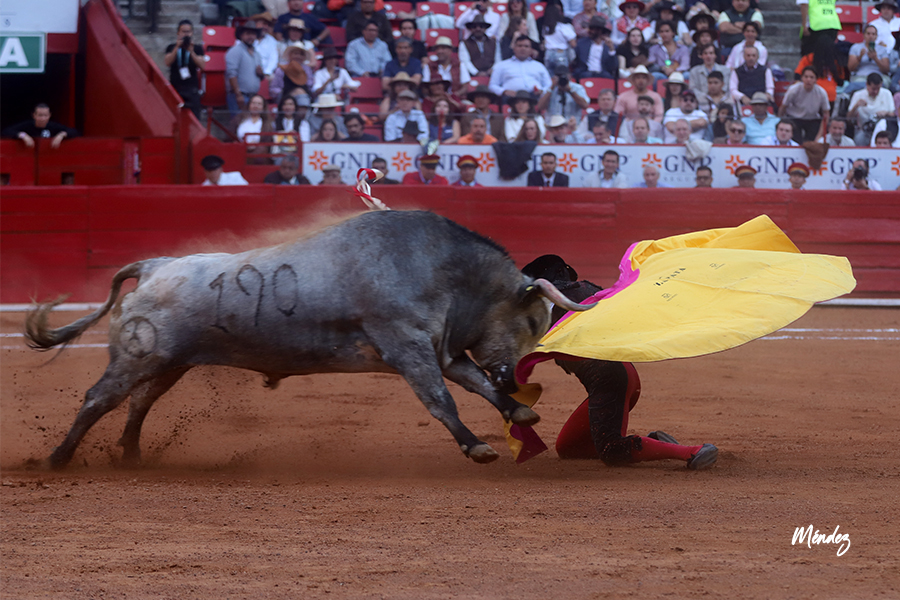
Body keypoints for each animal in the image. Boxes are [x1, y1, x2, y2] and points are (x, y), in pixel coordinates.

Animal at [25, 210, 595, 470]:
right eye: (531, 321)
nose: (519, 379)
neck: (443, 271)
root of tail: (155, 266)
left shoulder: (444, 349)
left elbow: (476, 383)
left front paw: (518, 412)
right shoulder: (409, 349)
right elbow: (442, 401)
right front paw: (477, 445)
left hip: (169, 362)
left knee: (139, 400)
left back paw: (130, 452)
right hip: (137, 356)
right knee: (99, 398)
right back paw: (56, 459)